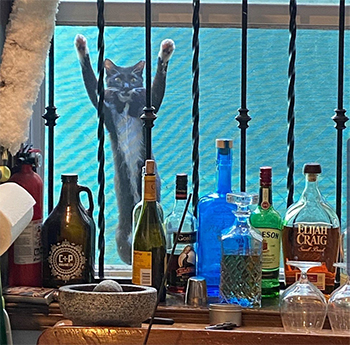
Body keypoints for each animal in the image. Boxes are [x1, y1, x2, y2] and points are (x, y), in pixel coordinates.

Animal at [74, 34, 175, 264]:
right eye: (118, 79)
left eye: (135, 79)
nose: (127, 86)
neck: (126, 106)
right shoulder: (107, 115)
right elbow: (91, 85)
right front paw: (81, 46)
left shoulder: (148, 109)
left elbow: (157, 89)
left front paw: (165, 50)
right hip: (121, 227)